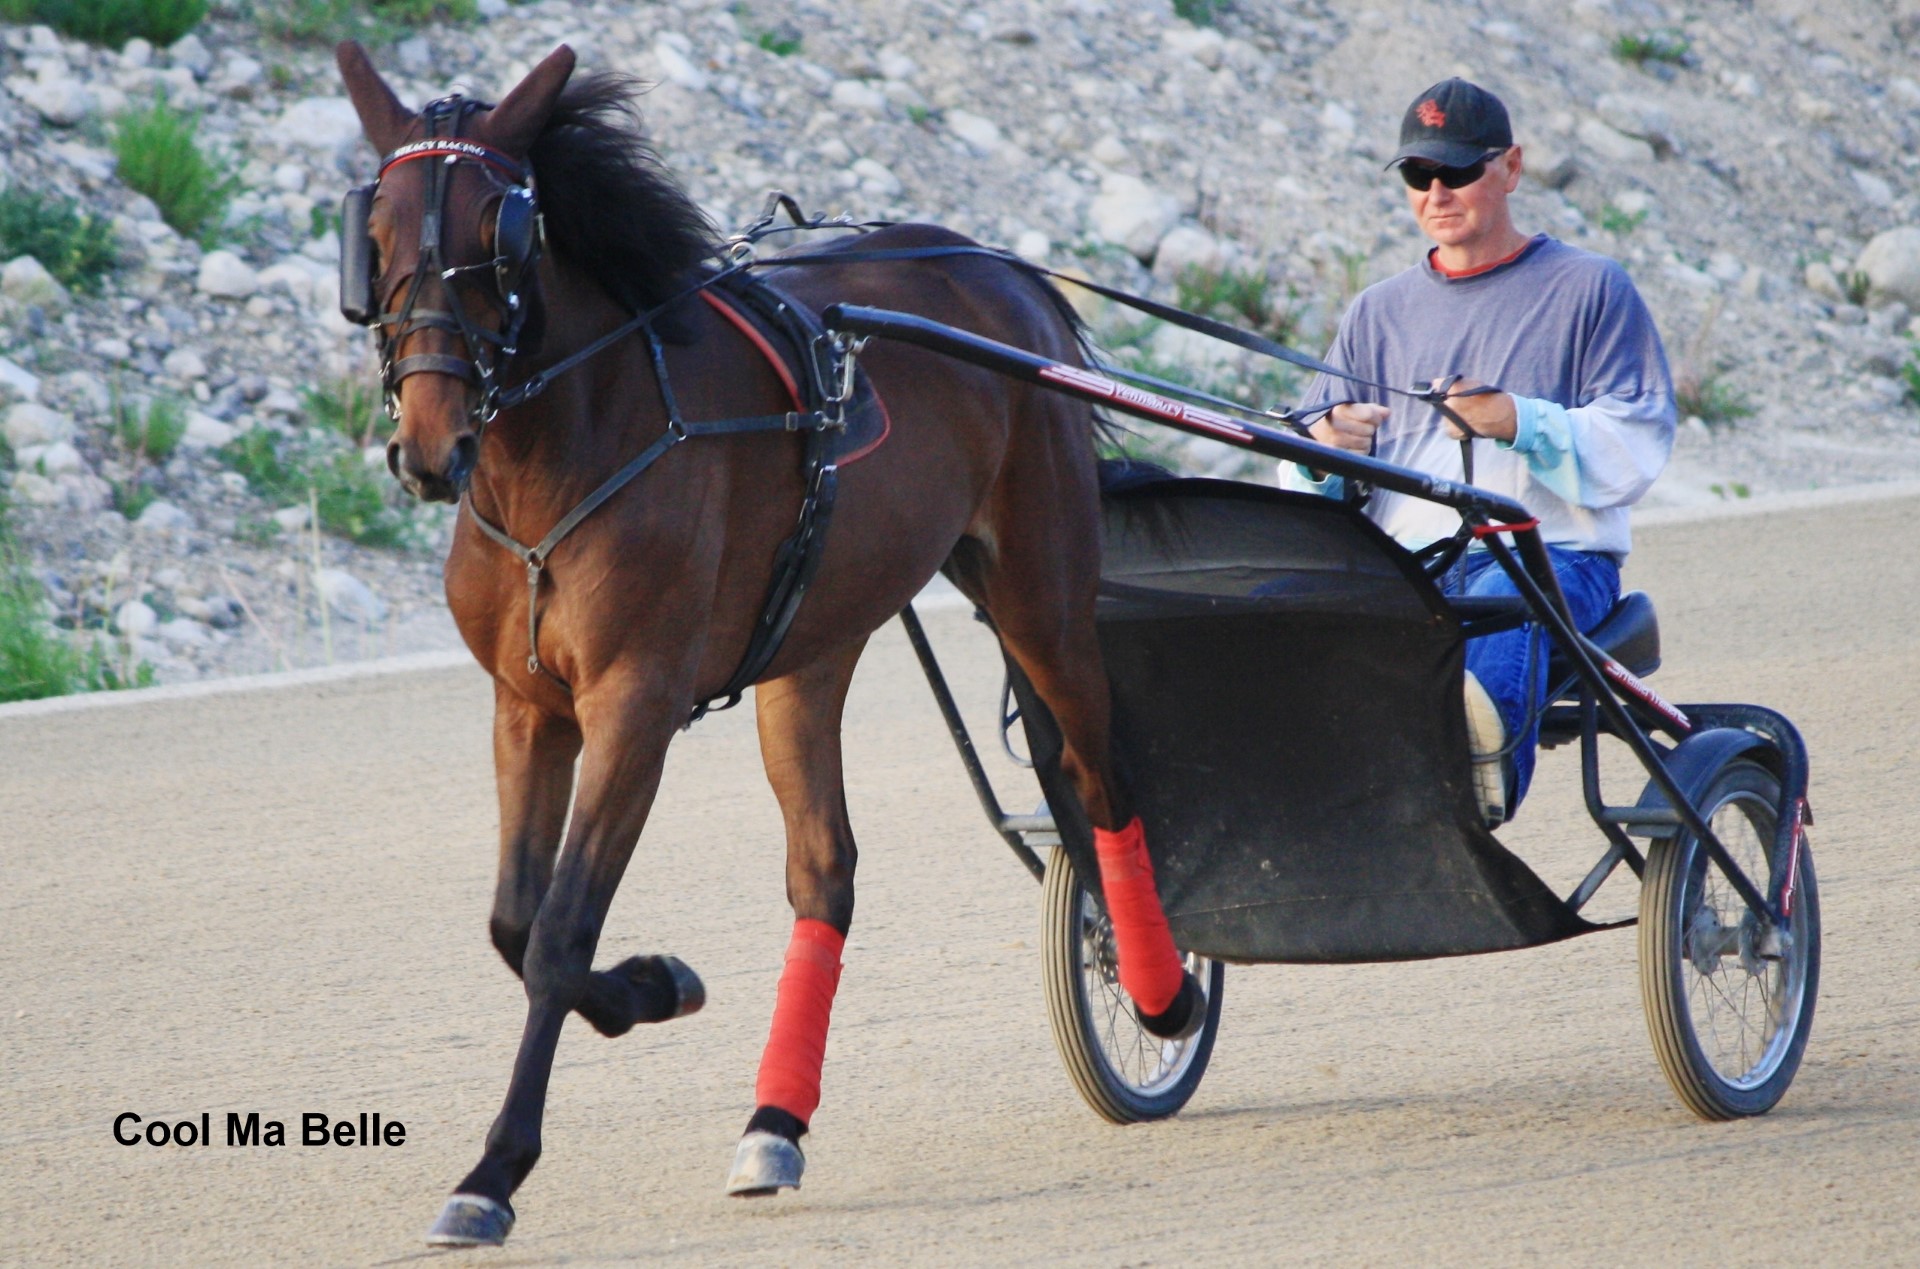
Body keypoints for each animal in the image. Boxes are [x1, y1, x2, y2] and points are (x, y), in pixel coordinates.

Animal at [334, 40, 1204, 1247]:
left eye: (494, 238)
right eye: (372, 235)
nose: (429, 445)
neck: (576, 441)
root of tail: (1002, 272)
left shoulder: (634, 707)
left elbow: (557, 934)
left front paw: (495, 1171)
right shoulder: (528, 706)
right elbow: (514, 921)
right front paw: (653, 984)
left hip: (1041, 591)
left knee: (1101, 777)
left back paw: (1161, 992)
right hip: (812, 649)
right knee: (825, 871)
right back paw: (774, 1122)